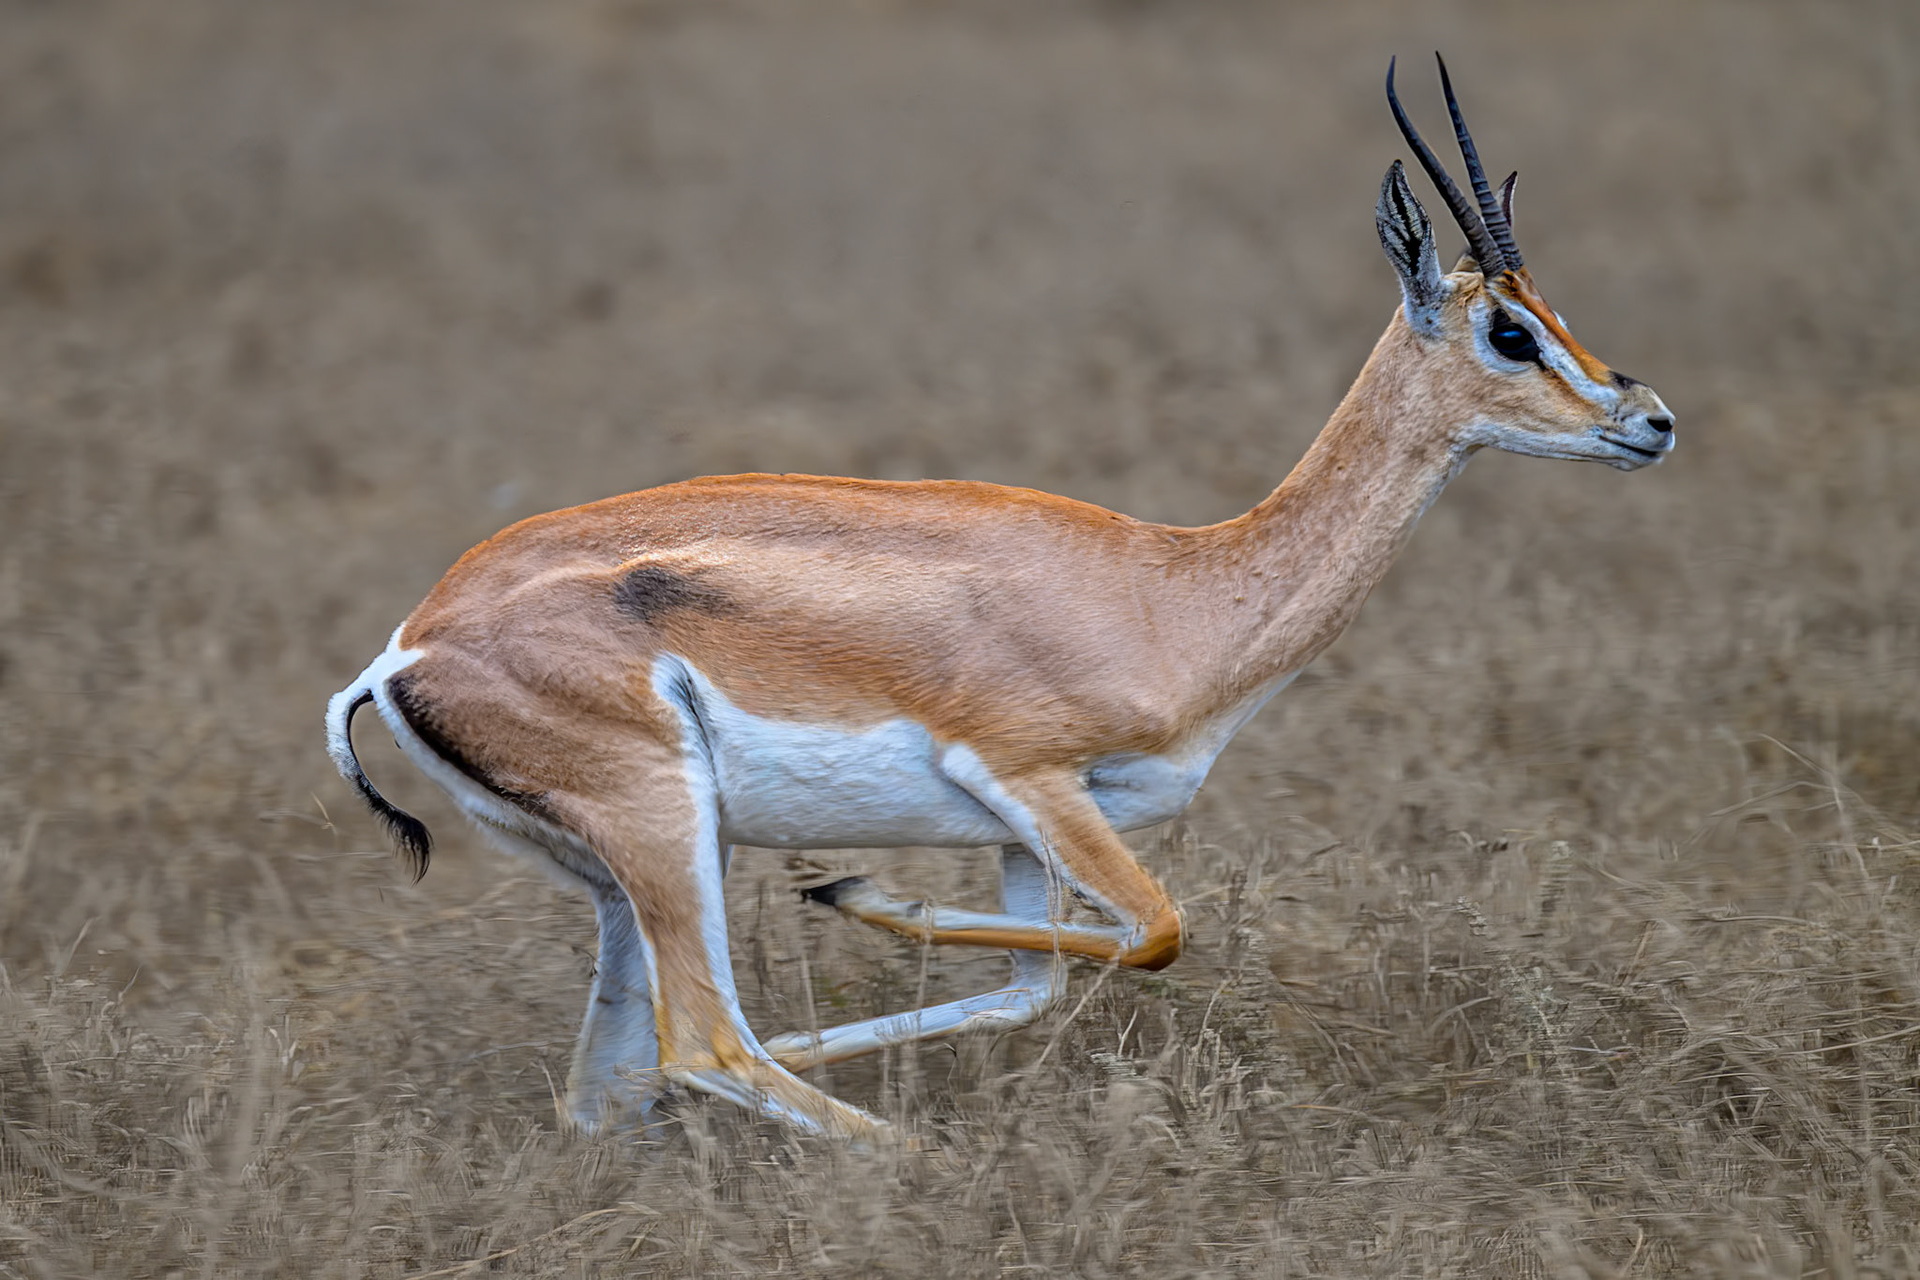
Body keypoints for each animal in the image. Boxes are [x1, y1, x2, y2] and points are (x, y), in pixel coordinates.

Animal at [326, 57, 1673, 1141]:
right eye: (1508, 332)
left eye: (1553, 311)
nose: (1651, 419)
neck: (1173, 589)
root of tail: (408, 648)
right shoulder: (1033, 780)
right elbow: (1157, 931)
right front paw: (848, 890)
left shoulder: (1025, 829)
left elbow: (1043, 982)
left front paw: (859, 901)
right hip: (665, 820)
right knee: (706, 1040)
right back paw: (916, 1162)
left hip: (624, 873)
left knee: (609, 1084)